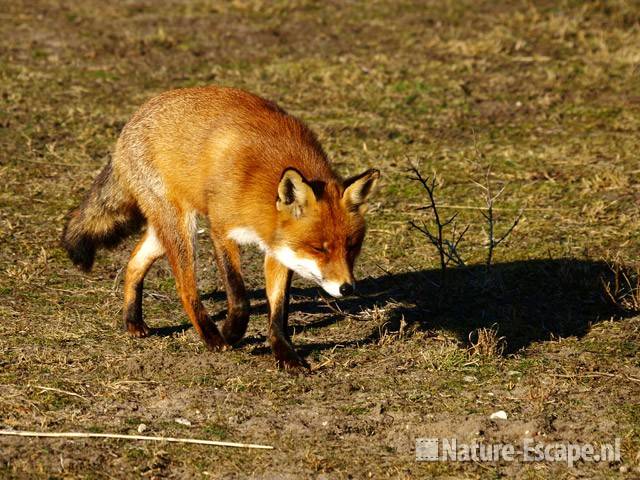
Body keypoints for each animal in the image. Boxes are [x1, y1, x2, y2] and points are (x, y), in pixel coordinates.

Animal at [62, 86, 378, 370]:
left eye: (352, 248)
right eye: (318, 249)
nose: (347, 288)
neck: (258, 186)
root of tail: (134, 119)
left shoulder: (278, 248)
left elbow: (279, 310)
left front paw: (285, 355)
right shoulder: (221, 230)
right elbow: (238, 295)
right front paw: (232, 332)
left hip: (164, 231)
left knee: (134, 262)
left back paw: (133, 320)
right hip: (183, 230)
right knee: (185, 287)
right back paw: (211, 336)